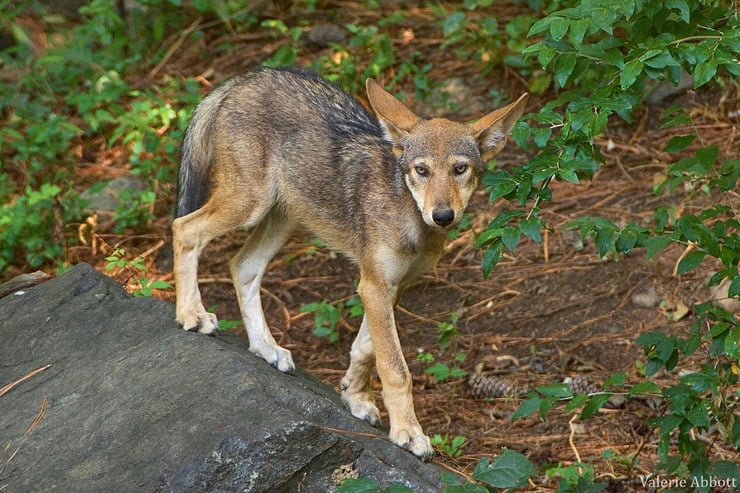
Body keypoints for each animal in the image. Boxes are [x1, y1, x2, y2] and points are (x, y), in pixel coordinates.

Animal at [172, 66, 528, 458]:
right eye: (421, 170)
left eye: (460, 169)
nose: (443, 216)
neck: (410, 217)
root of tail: (245, 79)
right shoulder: (373, 285)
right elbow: (396, 369)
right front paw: (409, 432)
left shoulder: (391, 287)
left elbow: (366, 349)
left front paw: (355, 398)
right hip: (248, 206)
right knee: (184, 229)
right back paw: (192, 314)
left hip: (281, 219)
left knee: (241, 266)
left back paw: (266, 349)